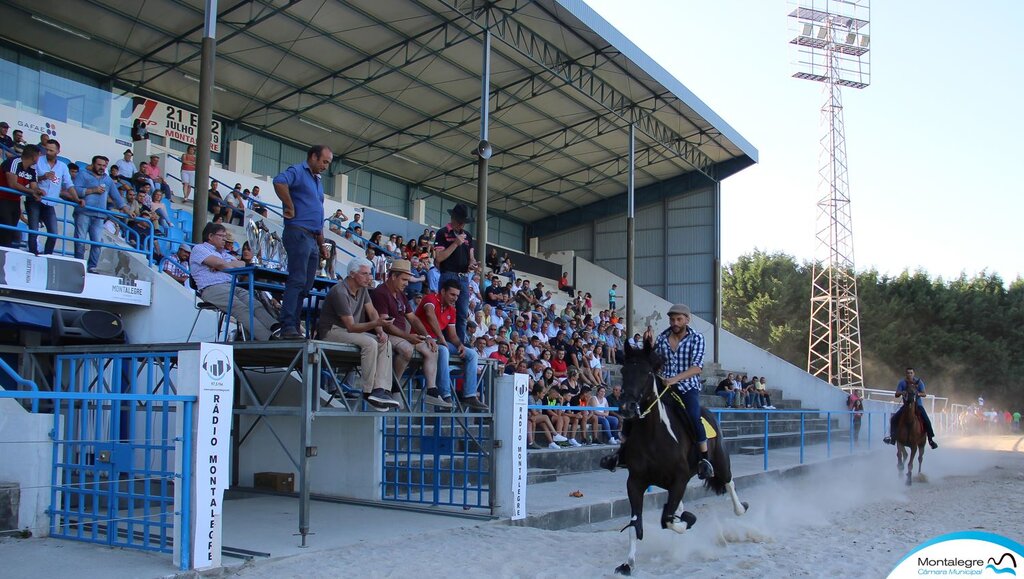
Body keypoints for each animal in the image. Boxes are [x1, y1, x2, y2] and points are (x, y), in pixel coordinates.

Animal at [606, 342, 745, 573]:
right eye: (624, 371)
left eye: (647, 373)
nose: (626, 407)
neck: (654, 436)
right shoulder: (635, 482)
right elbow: (636, 524)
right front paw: (627, 564)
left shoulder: (679, 480)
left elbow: (668, 520)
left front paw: (689, 518)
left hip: (720, 461)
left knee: (729, 482)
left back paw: (741, 508)